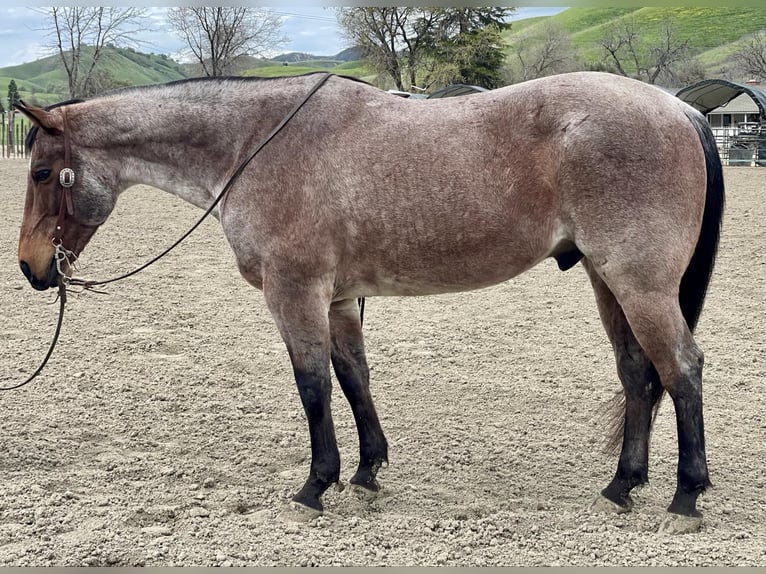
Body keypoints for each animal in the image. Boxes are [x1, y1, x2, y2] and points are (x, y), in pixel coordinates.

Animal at [15, 71, 728, 536]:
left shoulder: (295, 292)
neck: (257, 143)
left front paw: (316, 484)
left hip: (640, 285)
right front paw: (365, 472)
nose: (30, 268)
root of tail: (677, 109)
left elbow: (312, 386)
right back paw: (621, 486)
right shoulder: (338, 299)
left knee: (683, 370)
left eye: (43, 172)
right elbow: (353, 377)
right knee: (639, 375)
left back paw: (685, 496)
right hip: (610, 283)